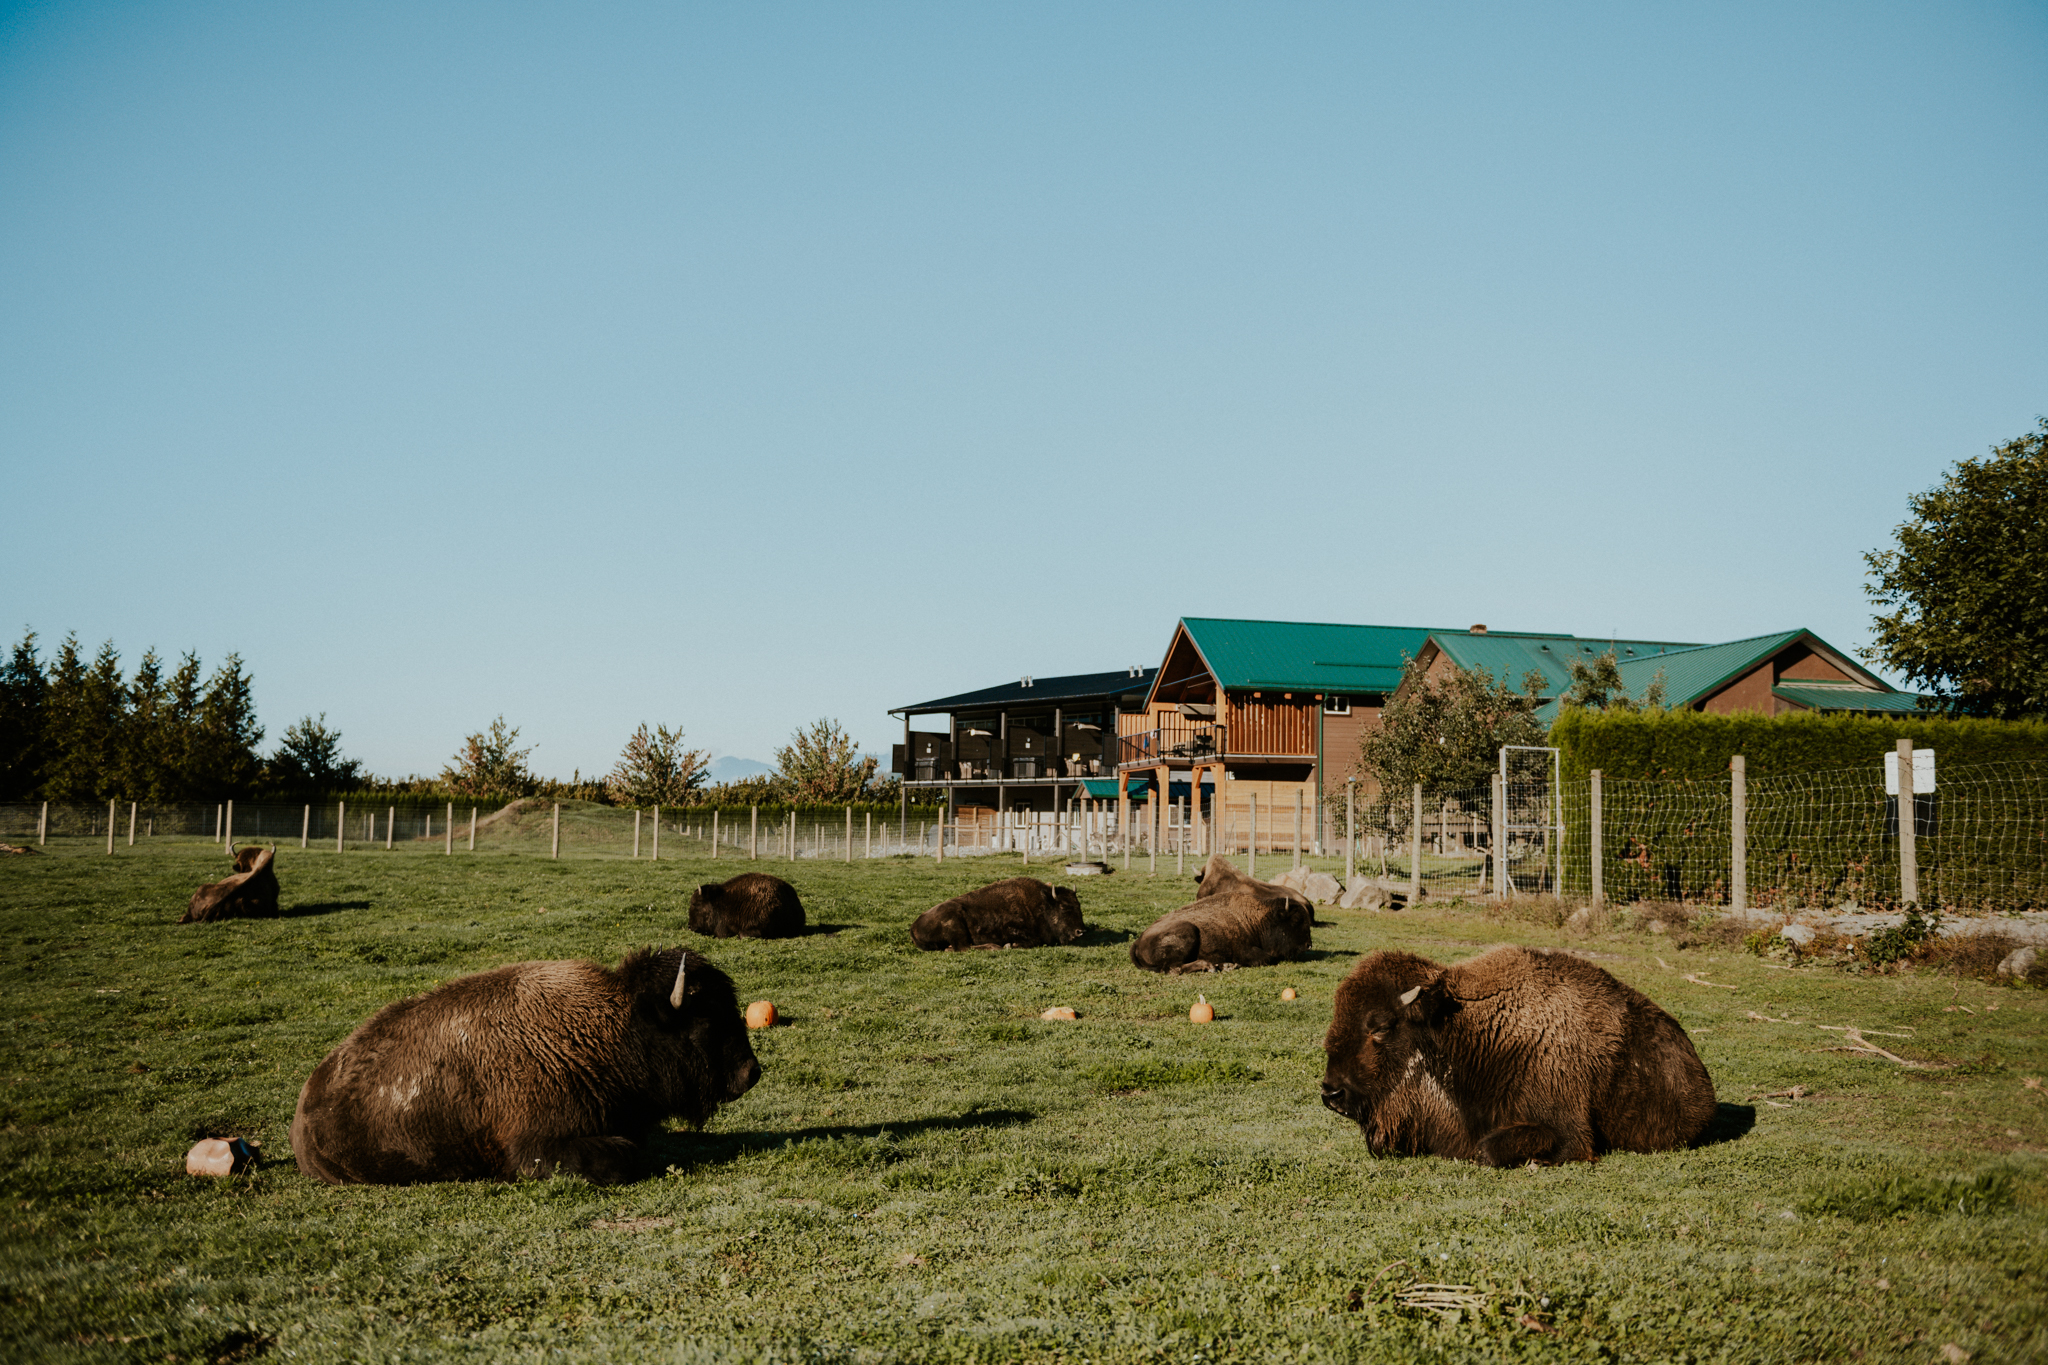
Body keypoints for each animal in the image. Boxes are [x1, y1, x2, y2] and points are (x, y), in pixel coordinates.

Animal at [292, 949, 765, 1186]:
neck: (614, 1027)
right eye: (705, 1019)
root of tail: (303, 1112)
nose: (751, 1073)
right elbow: (623, 1156)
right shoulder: (536, 1145)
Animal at [913, 875, 1089, 949]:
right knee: (963, 947)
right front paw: (1010, 945)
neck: (1041, 905)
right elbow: (1034, 940)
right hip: (954, 923)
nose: (1081, 931)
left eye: (1078, 906)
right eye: (1063, 908)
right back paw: (994, 947)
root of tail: (913, 926)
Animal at [1130, 855, 1318, 970]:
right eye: (1295, 920)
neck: (1258, 918)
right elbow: (1267, 958)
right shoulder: (1246, 951)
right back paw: (1210, 966)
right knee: (1174, 968)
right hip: (1188, 931)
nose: (1308, 945)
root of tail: (1138, 941)